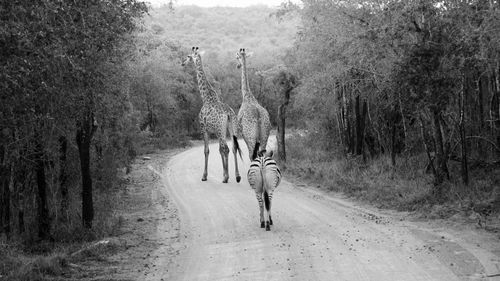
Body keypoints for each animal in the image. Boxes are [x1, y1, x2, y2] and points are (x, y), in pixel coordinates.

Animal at [182, 47, 242, 183]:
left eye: (188, 56)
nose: (182, 62)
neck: (206, 97)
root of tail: (229, 114)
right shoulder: (215, 130)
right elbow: (219, 150)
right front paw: (224, 173)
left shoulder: (204, 128)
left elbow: (207, 150)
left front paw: (204, 176)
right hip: (231, 127)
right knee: (233, 147)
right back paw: (237, 176)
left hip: (220, 130)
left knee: (226, 148)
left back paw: (226, 178)